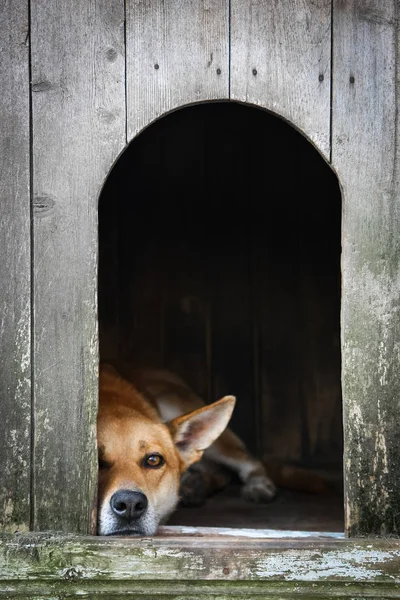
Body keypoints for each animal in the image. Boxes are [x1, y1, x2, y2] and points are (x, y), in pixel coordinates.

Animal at [98, 364, 276, 536]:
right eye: (97, 461)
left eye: (153, 460)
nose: (130, 504)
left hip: (172, 405)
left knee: (247, 460)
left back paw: (257, 484)